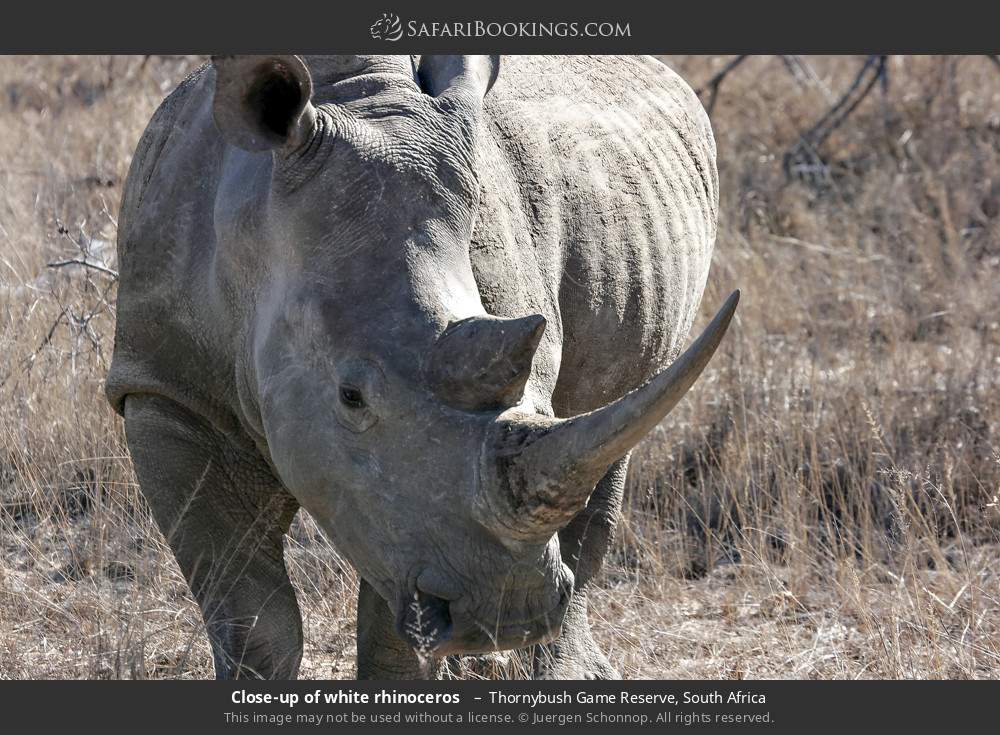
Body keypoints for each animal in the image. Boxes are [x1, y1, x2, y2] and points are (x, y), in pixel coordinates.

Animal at [107, 54, 737, 680]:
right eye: (351, 396)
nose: (511, 612)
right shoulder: (162, 388)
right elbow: (252, 620)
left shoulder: (410, 516)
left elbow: (394, 631)